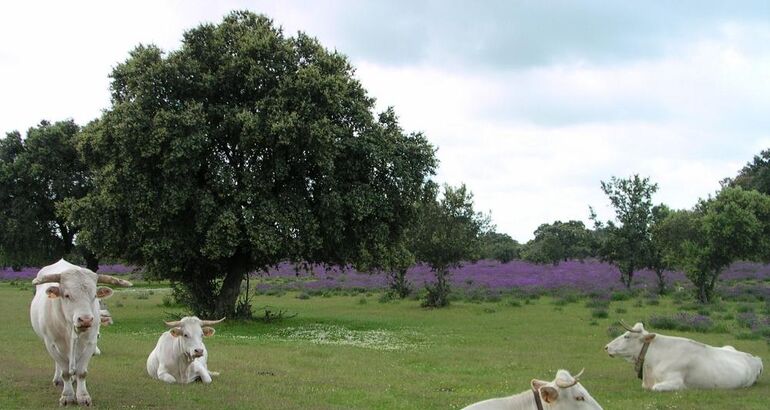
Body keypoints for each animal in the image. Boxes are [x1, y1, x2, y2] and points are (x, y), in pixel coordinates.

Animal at [29, 258, 132, 406]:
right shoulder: (51, 343)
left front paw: (83, 396)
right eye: (67, 295)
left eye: (94, 295)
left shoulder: (90, 342)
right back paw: (58, 379)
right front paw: (67, 395)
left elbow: (81, 372)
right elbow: (65, 371)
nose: (85, 320)